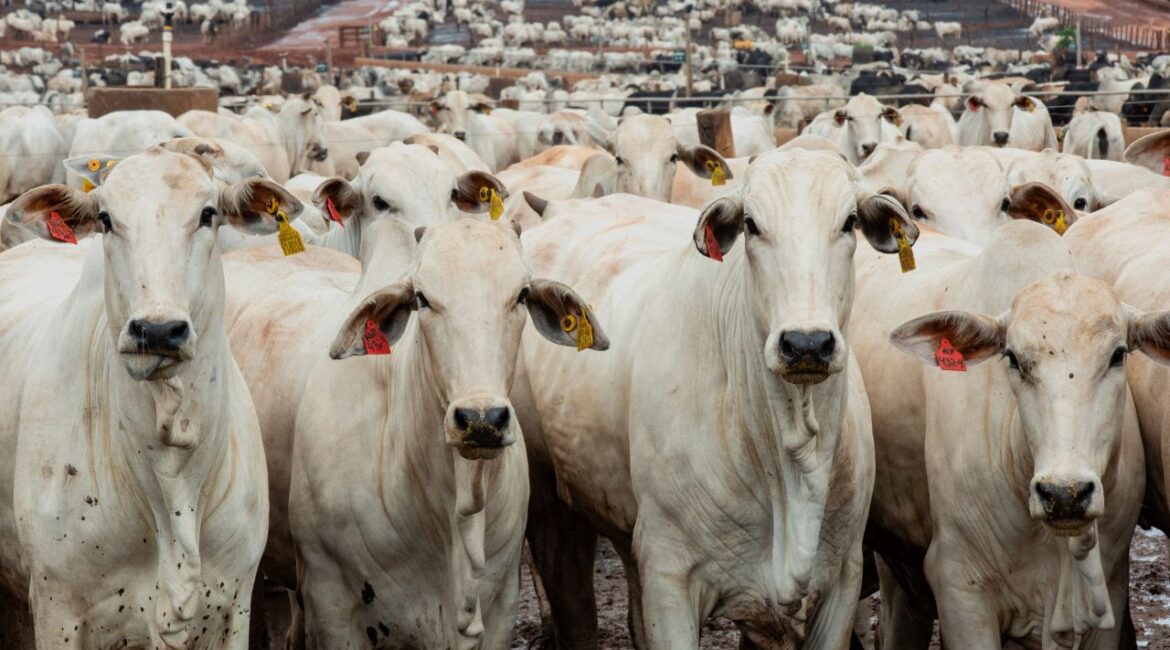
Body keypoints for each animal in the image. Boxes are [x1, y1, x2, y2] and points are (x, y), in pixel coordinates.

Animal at [515, 149, 918, 649]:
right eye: (752, 224)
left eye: (849, 222)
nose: (806, 344)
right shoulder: (669, 579)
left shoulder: (842, 582)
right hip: (552, 507)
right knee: (576, 616)